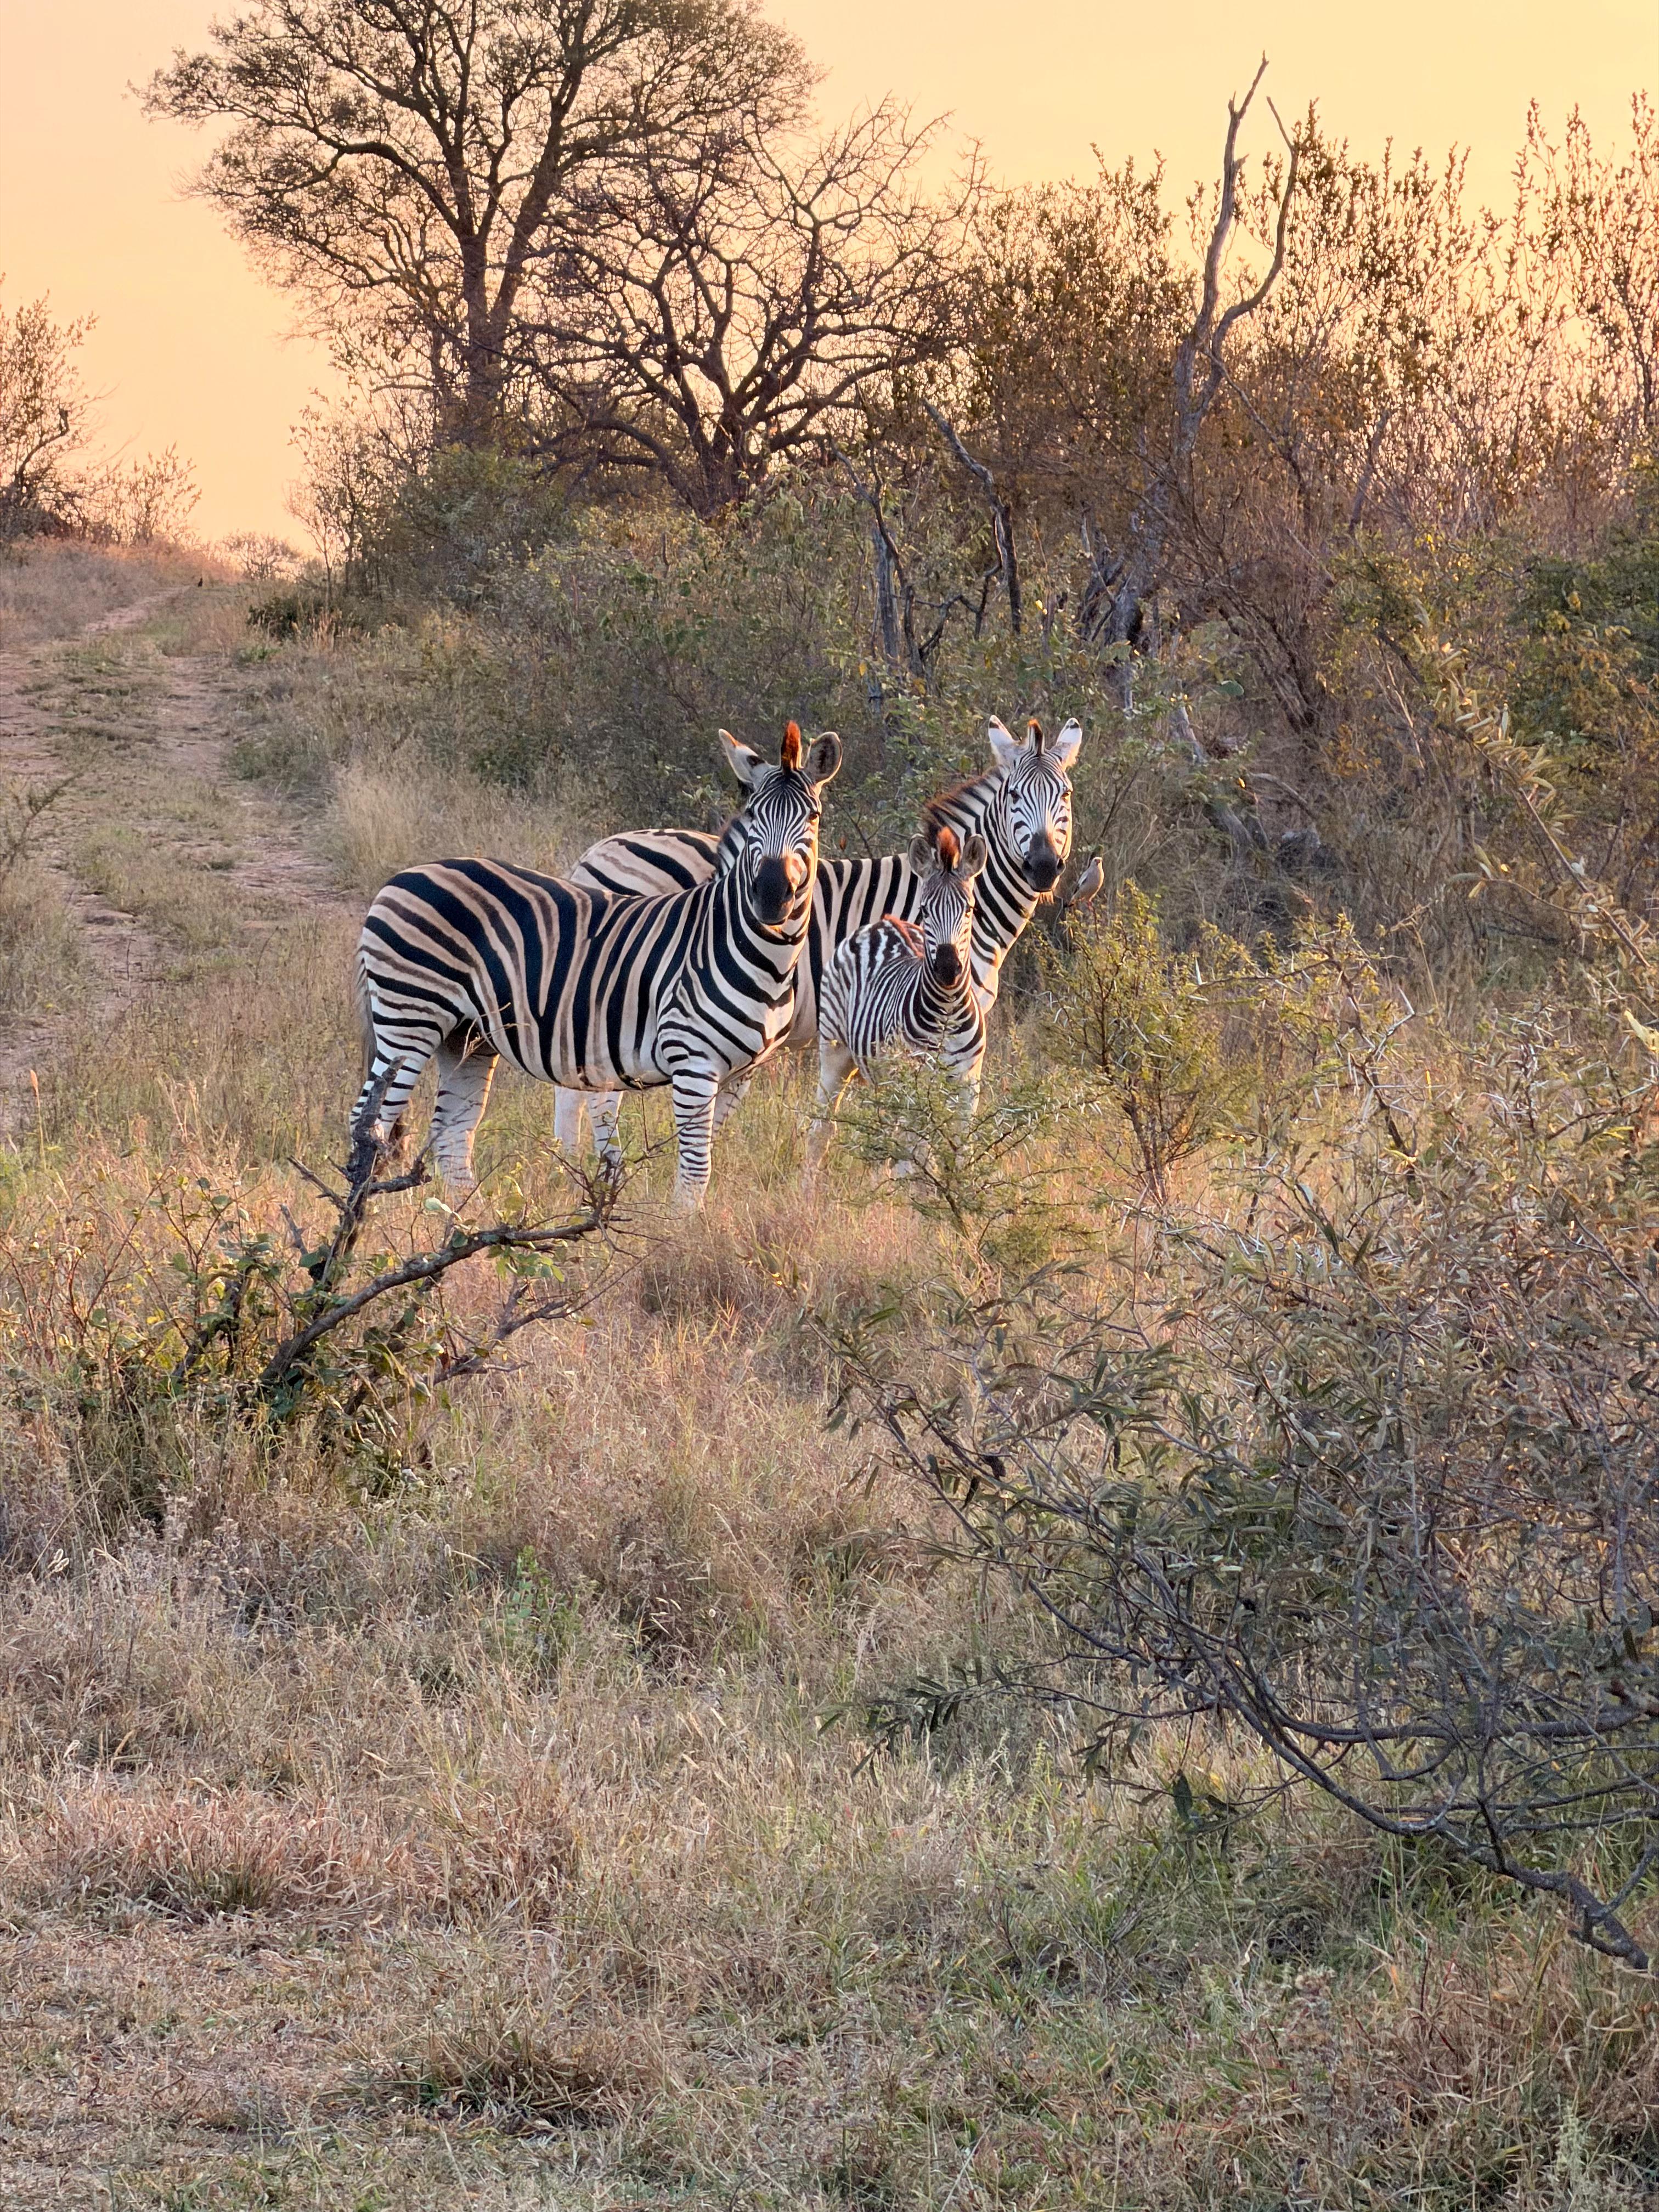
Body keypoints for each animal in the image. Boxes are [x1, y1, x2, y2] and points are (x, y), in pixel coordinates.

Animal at [349, 723, 841, 1206]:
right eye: (755, 816)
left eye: (814, 817)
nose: (771, 896)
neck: (759, 955)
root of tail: (402, 877)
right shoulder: (693, 1062)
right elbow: (694, 1175)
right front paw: (678, 1231)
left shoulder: (740, 1071)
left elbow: (708, 1160)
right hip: (410, 1019)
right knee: (368, 1123)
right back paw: (358, 1224)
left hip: (466, 1035)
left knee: (452, 1136)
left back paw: (470, 1226)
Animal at [807, 823, 988, 1175]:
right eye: (925, 910)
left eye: (970, 909)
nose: (948, 968)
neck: (947, 1013)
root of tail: (880, 923)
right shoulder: (918, 1087)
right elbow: (918, 1164)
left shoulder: (967, 1087)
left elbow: (960, 1157)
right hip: (835, 1052)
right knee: (822, 1129)